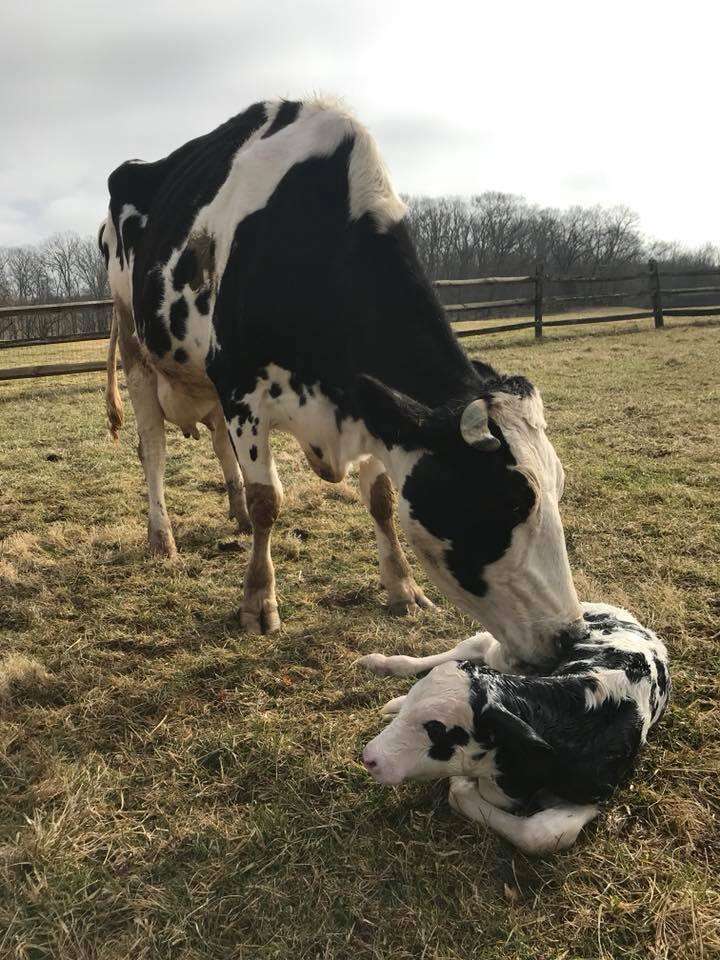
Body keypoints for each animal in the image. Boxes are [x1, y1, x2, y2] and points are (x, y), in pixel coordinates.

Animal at [100, 95, 583, 663]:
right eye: (508, 500)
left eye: (559, 487)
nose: (572, 635)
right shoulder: (242, 389)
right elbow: (269, 501)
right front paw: (258, 601)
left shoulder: (369, 404)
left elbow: (381, 500)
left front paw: (402, 588)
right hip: (135, 346)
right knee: (152, 448)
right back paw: (162, 538)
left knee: (219, 445)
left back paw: (233, 513)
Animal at [359, 602, 671, 854]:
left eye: (435, 730)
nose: (369, 758)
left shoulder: (599, 791)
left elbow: (542, 834)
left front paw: (462, 785)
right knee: (473, 647)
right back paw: (383, 666)